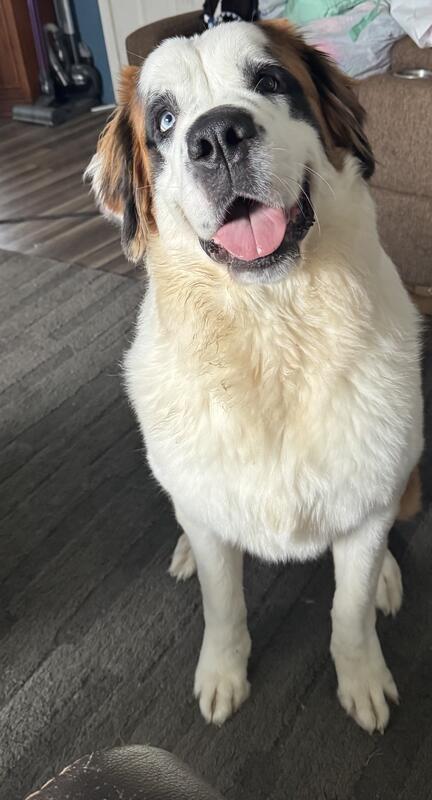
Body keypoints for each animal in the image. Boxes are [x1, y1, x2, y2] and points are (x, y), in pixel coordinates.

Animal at [86, 19, 423, 733]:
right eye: (164, 121)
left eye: (269, 80)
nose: (217, 136)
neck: (270, 330)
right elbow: (224, 605)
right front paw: (222, 674)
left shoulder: (368, 498)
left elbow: (349, 609)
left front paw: (362, 677)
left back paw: (387, 575)